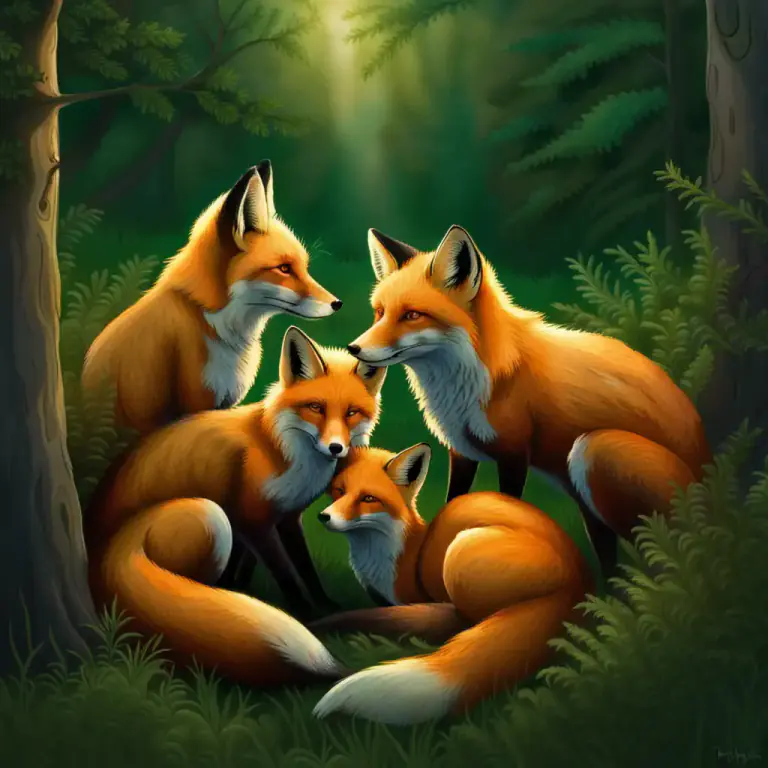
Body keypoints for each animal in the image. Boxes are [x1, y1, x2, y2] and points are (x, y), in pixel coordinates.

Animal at [85, 326, 388, 685]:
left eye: (352, 412)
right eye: (316, 407)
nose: (336, 448)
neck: (282, 450)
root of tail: (98, 555)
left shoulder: (285, 517)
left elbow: (302, 566)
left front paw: (324, 605)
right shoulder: (250, 517)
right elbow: (286, 574)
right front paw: (306, 615)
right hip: (210, 516)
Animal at [310, 443, 592, 725]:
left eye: (368, 498)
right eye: (340, 490)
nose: (323, 517)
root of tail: (578, 581)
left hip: (459, 549)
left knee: (466, 619)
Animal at [345, 225, 711, 576]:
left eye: (412, 315)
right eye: (380, 312)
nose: (353, 348)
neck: (474, 380)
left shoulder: (514, 454)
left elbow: (506, 508)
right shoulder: (462, 453)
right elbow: (452, 504)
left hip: (593, 450)